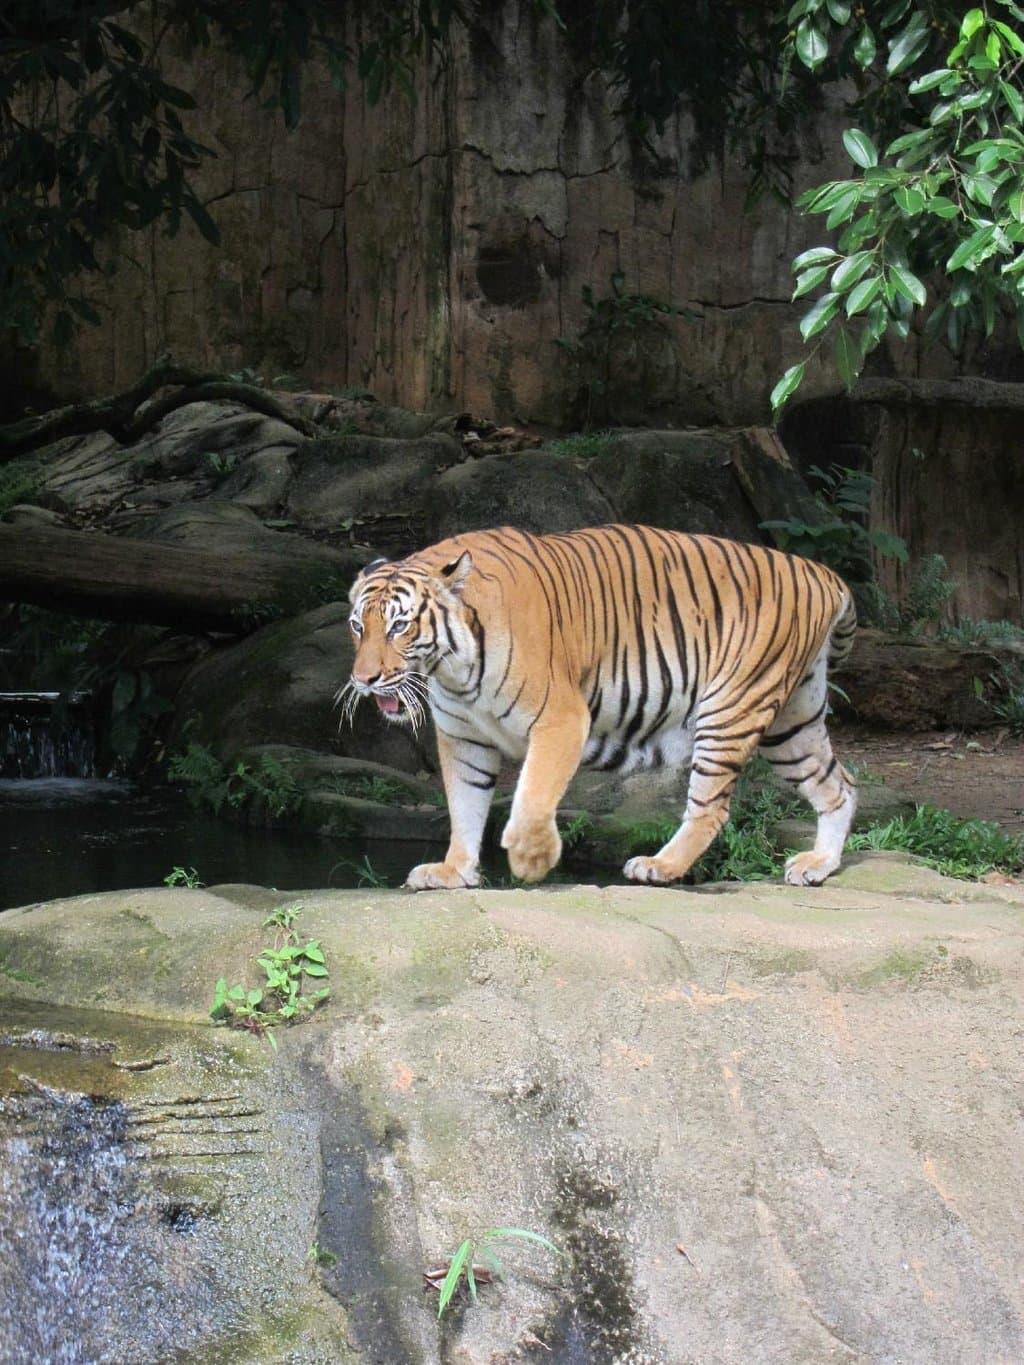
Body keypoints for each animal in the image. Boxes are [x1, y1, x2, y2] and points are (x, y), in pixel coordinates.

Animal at [340, 525, 857, 891]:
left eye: (399, 626)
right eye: (357, 627)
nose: (363, 680)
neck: (453, 669)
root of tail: (820, 571)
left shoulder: (561, 719)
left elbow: (533, 795)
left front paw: (530, 860)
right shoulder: (463, 737)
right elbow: (465, 803)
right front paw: (455, 871)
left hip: (731, 708)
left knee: (711, 807)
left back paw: (660, 865)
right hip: (791, 724)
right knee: (839, 785)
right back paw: (818, 865)